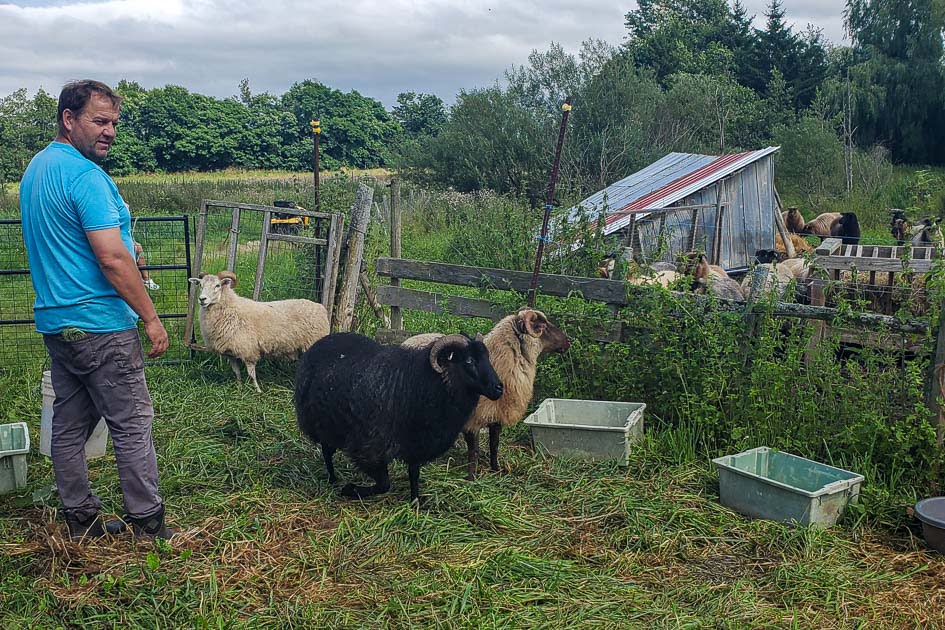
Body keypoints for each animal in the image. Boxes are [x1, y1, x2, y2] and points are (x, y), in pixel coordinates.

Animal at [189, 270, 329, 392]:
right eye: (200, 285)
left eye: (217, 285)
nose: (202, 299)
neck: (231, 308)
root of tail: (321, 308)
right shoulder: (231, 352)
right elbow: (237, 372)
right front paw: (239, 388)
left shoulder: (248, 350)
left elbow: (252, 375)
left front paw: (258, 391)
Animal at [295, 332, 504, 501]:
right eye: (469, 361)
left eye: (487, 357)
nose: (499, 388)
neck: (421, 384)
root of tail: (322, 341)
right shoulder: (370, 447)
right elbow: (384, 485)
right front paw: (351, 490)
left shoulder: (417, 443)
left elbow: (414, 473)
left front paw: (415, 501)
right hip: (321, 422)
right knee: (327, 452)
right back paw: (333, 479)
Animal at [403, 309, 570, 480]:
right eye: (541, 326)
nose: (568, 341)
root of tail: (409, 339)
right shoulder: (472, 421)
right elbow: (473, 452)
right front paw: (471, 478)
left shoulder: (496, 417)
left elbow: (494, 445)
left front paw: (496, 470)